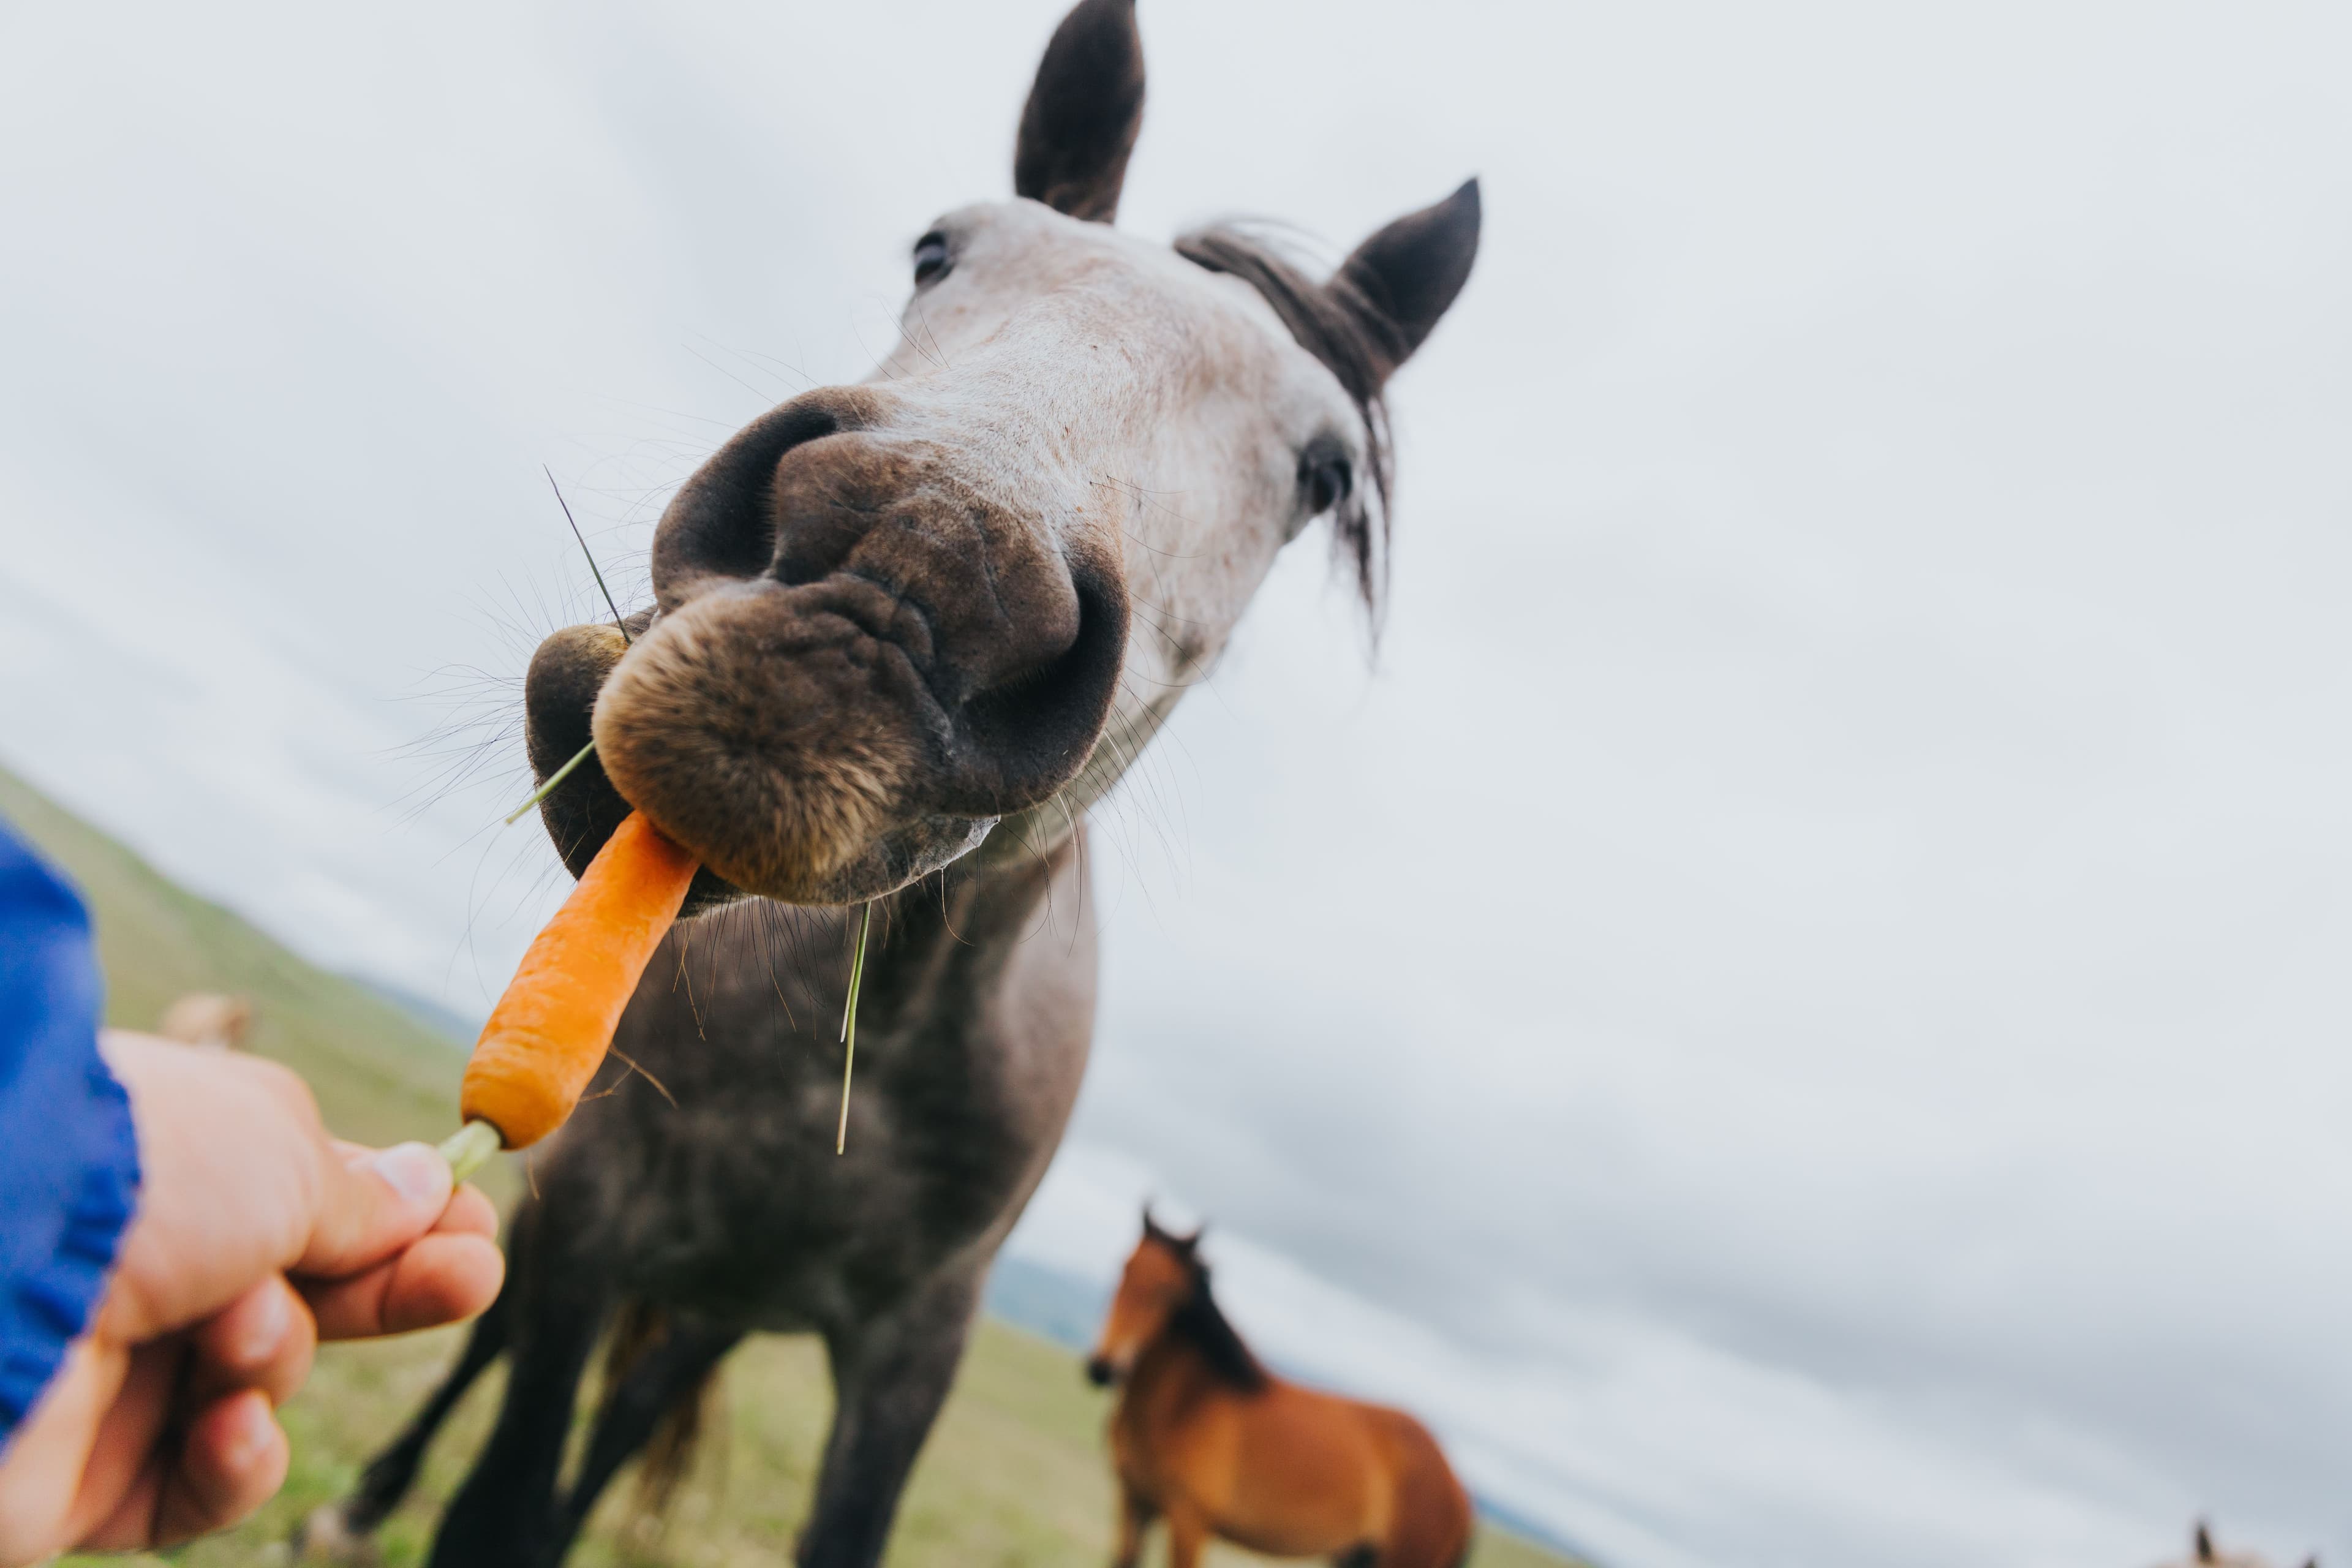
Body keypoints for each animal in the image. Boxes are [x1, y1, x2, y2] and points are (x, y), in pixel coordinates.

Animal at [1082, 1213, 1468, 1568]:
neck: (1186, 1406)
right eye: (1125, 1268)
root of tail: (1457, 1487)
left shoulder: (1190, 1521)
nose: (1102, 1368)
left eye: (1167, 1290)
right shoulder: (1133, 1503)